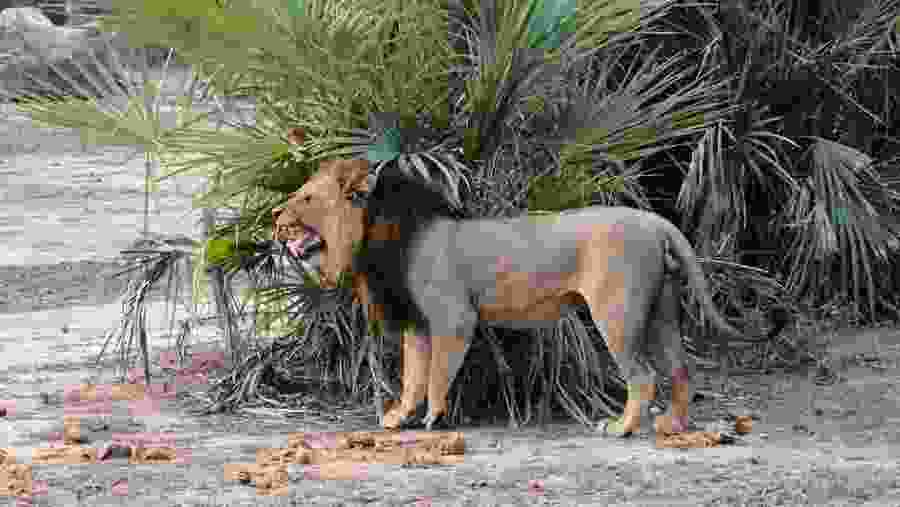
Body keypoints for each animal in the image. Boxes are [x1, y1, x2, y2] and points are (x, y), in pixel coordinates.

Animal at [272, 155, 766, 436]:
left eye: (307, 198)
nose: (275, 217)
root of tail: (656, 221)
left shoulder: (453, 319)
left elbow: (436, 374)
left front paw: (434, 419)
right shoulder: (419, 324)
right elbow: (412, 375)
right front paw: (399, 418)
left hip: (617, 314)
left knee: (643, 376)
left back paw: (621, 428)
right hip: (661, 310)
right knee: (680, 370)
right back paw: (672, 425)